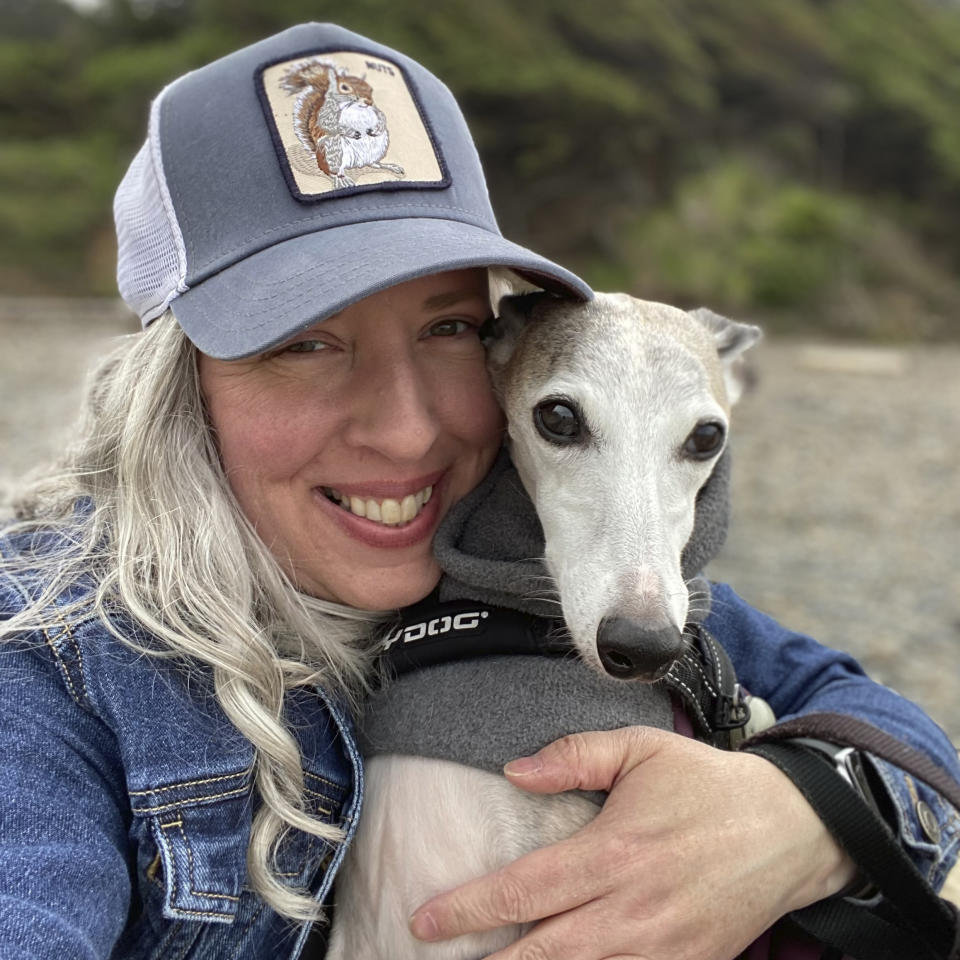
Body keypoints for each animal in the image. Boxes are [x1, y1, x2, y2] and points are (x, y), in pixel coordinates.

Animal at [284, 59, 406, 189]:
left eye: (370, 89)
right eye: (344, 87)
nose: (368, 102)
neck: (356, 107)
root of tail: (357, 164)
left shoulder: (375, 109)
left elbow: (382, 117)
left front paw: (377, 128)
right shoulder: (327, 113)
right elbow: (327, 124)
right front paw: (351, 132)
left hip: (379, 147)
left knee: (374, 164)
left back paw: (389, 166)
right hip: (332, 150)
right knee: (332, 172)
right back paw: (342, 179)